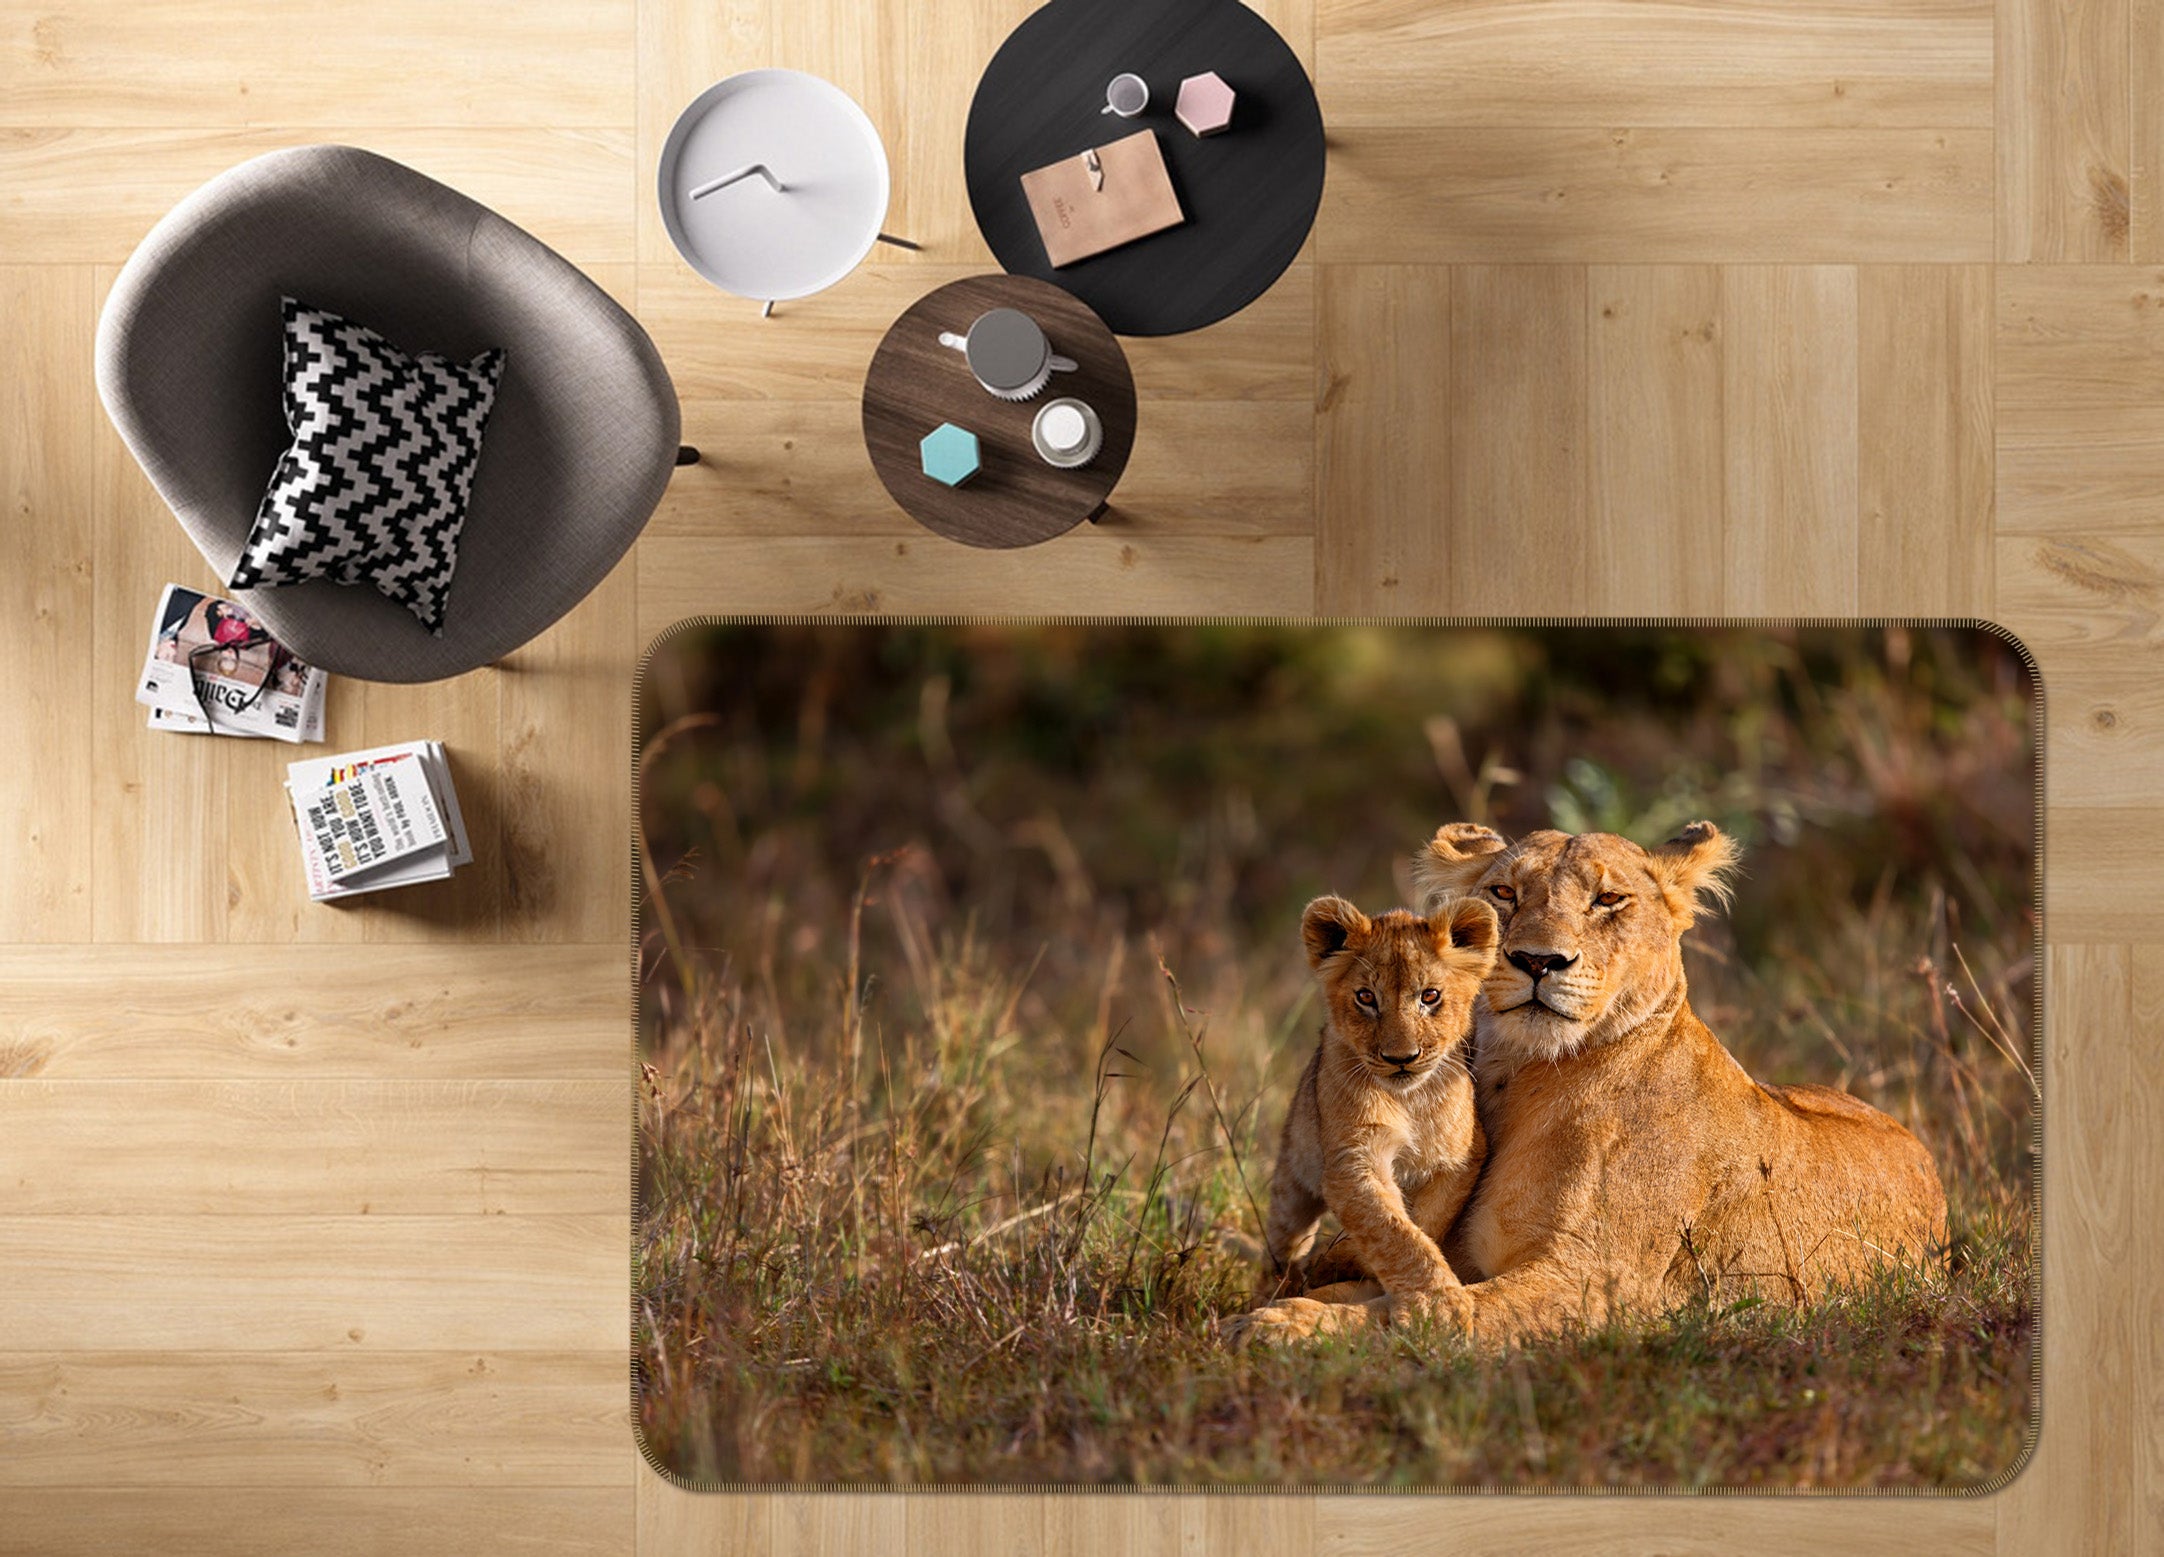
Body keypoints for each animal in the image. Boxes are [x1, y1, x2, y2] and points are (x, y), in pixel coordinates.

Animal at [1240, 820, 1948, 1346]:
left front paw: (1284, 1328)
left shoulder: (1595, 1281)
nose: (1537, 961)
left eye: (1608, 900)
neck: (1518, 1077)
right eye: (1504, 893)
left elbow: (1435, 1315)